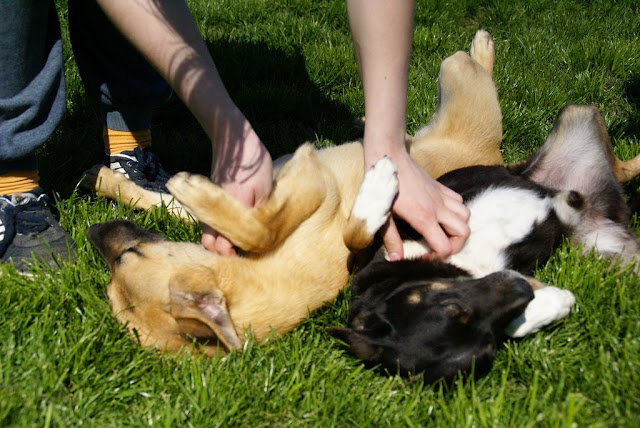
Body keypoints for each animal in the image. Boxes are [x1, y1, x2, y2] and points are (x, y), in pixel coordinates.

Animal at [329, 104, 640, 383]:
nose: (523, 288)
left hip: (575, 114)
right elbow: (516, 324)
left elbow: (354, 235)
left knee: (623, 166)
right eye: (489, 345)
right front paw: (556, 301)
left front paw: (381, 177)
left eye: (453, 306)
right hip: (612, 250)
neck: (458, 268)